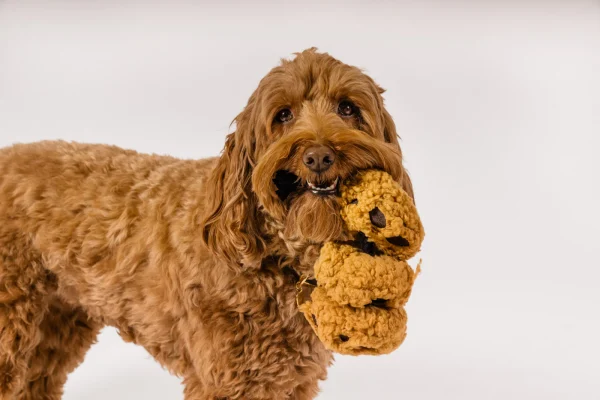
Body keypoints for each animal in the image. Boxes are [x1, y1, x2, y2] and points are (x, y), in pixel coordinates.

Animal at [0, 49, 412, 400]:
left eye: (348, 108)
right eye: (283, 115)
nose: (319, 156)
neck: (272, 255)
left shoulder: (290, 379)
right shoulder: (226, 379)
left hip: (57, 324)